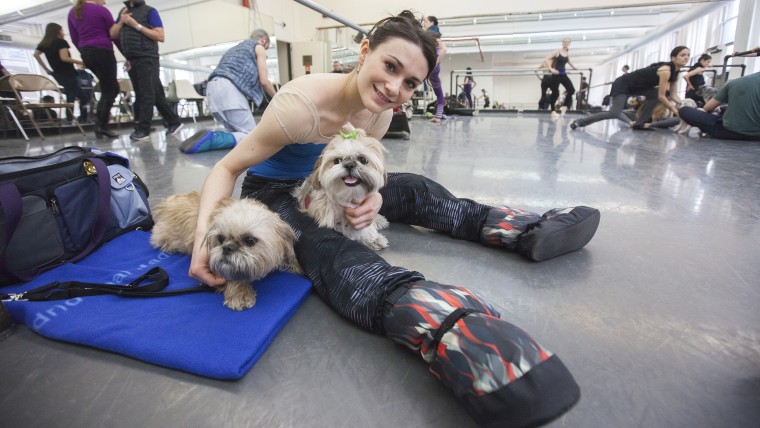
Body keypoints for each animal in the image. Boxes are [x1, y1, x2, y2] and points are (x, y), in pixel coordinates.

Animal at [150, 191, 302, 310]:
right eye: (220, 238)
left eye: (250, 240)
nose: (227, 248)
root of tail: (166, 204)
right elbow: (232, 276)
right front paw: (240, 292)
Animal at [290, 123, 388, 251]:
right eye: (337, 160)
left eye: (363, 159)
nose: (350, 164)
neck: (348, 195)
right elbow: (359, 230)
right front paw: (372, 238)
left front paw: (374, 237)